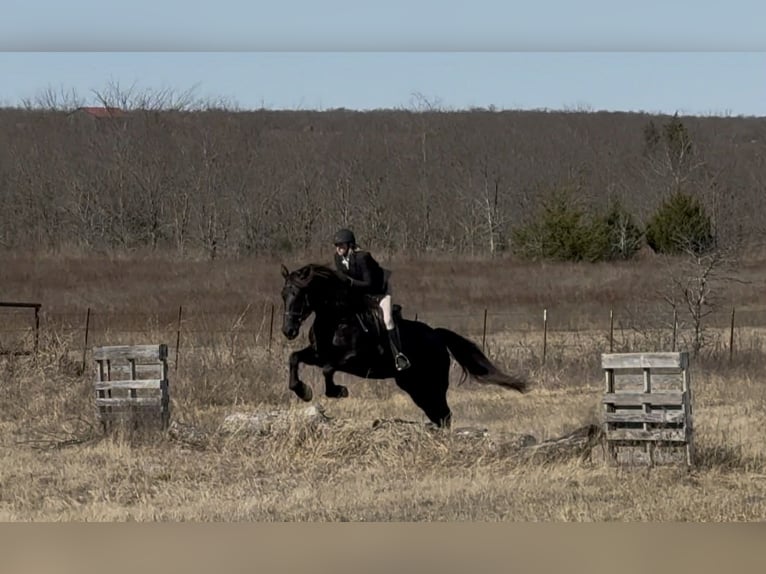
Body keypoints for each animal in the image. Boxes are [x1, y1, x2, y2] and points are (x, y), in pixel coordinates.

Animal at [279, 262, 530, 428]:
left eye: (300, 294)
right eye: (283, 295)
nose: (288, 331)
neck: (336, 316)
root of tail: (436, 336)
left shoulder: (352, 358)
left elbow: (328, 368)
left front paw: (338, 391)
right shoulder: (319, 353)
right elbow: (295, 358)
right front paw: (303, 391)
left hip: (431, 383)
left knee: (444, 414)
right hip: (413, 386)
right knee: (439, 414)